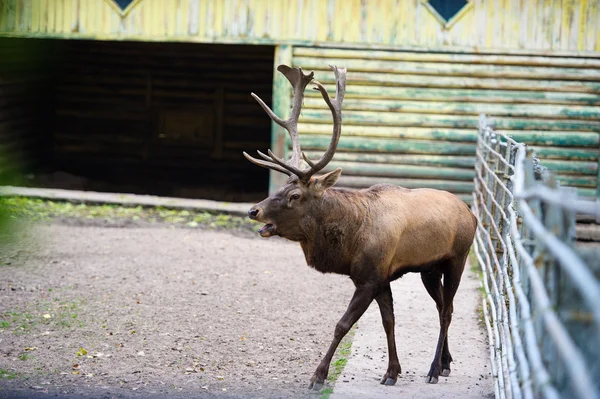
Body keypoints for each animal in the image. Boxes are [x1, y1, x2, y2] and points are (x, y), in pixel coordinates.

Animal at [241, 65, 476, 390]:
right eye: (282, 187)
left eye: (295, 195)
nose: (254, 210)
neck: (350, 243)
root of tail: (471, 213)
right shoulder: (379, 277)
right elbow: (389, 321)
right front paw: (392, 371)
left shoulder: (369, 277)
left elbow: (342, 324)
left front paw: (318, 375)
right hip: (429, 269)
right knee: (443, 307)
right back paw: (445, 363)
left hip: (458, 258)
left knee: (448, 311)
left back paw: (432, 369)